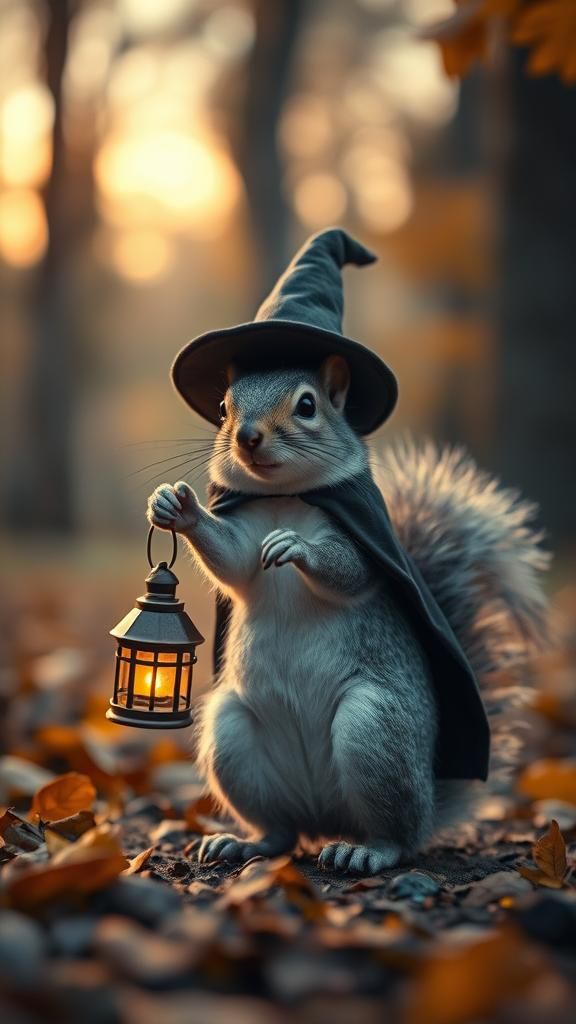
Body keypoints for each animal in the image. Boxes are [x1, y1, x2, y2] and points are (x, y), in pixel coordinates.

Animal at [146, 355, 549, 875]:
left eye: (307, 405)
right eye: (222, 408)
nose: (248, 436)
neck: (283, 499)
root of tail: (326, 820)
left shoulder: (357, 545)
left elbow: (348, 570)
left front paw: (299, 548)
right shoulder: (245, 537)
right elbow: (231, 560)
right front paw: (176, 507)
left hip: (373, 731)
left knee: (398, 837)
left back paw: (365, 850)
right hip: (231, 736)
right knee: (281, 831)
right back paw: (242, 844)